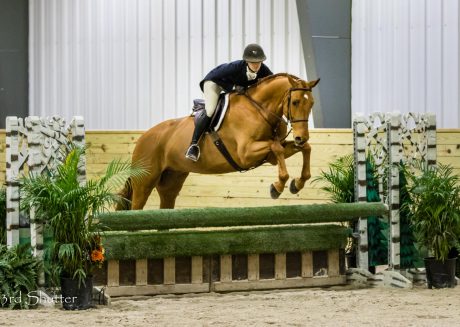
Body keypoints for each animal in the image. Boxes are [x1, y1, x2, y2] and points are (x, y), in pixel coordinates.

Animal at [118, 72, 318, 209]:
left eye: (311, 104)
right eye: (295, 102)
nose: (300, 137)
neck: (260, 109)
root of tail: (144, 137)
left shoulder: (269, 156)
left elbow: (304, 148)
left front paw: (297, 184)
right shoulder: (245, 154)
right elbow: (276, 147)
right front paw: (277, 187)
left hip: (172, 179)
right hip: (145, 181)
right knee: (136, 206)